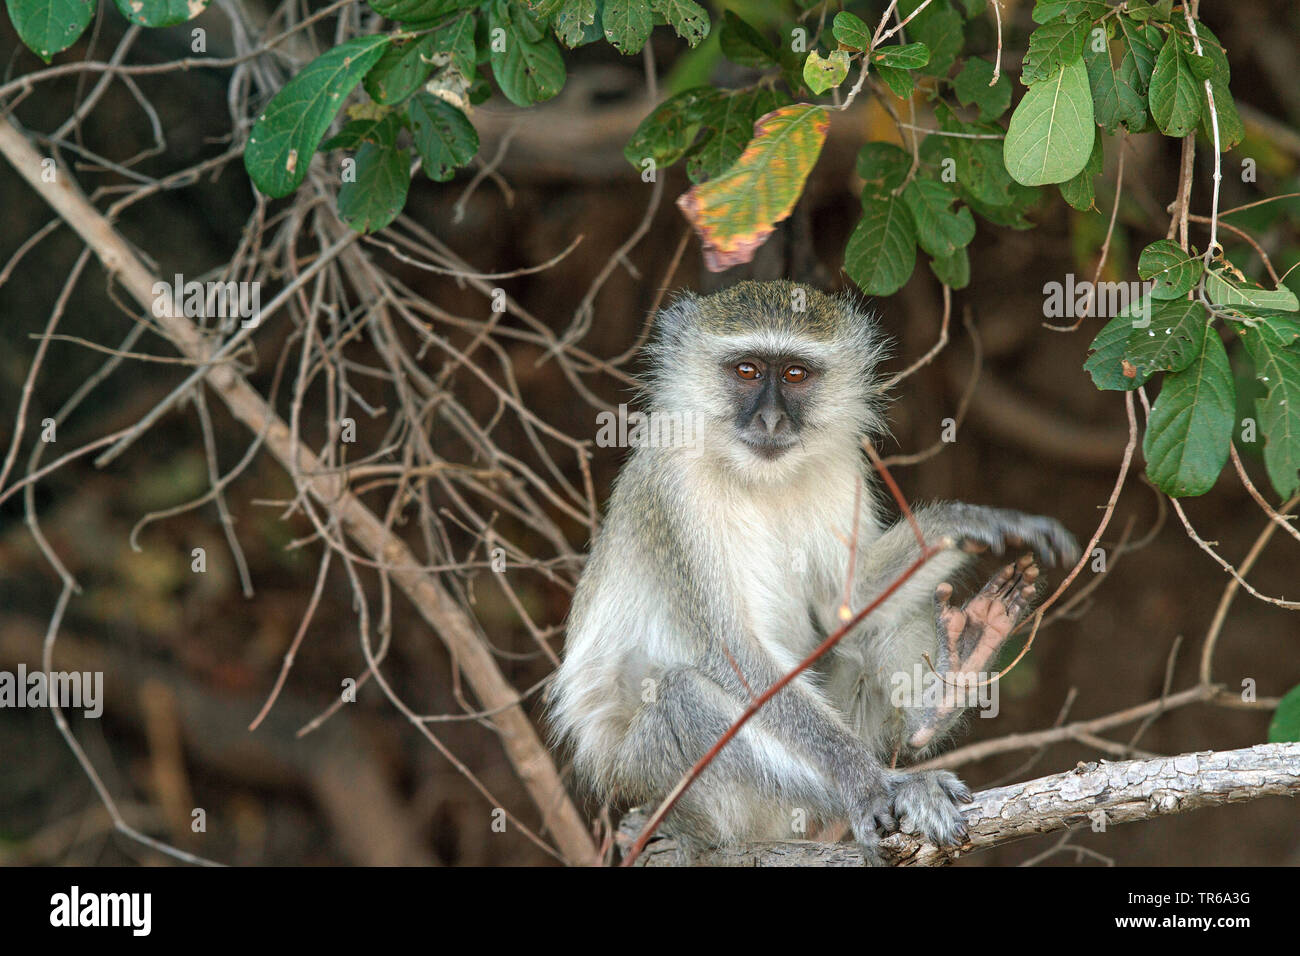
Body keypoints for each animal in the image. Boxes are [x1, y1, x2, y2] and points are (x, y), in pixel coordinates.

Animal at [548, 280, 1076, 863]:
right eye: (747, 370)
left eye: (796, 374)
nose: (771, 421)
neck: (756, 476)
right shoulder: (672, 489)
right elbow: (733, 654)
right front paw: (872, 784)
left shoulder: (842, 466)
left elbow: (849, 602)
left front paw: (969, 523)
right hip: (657, 779)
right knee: (684, 699)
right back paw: (882, 786)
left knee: (873, 630)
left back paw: (947, 689)